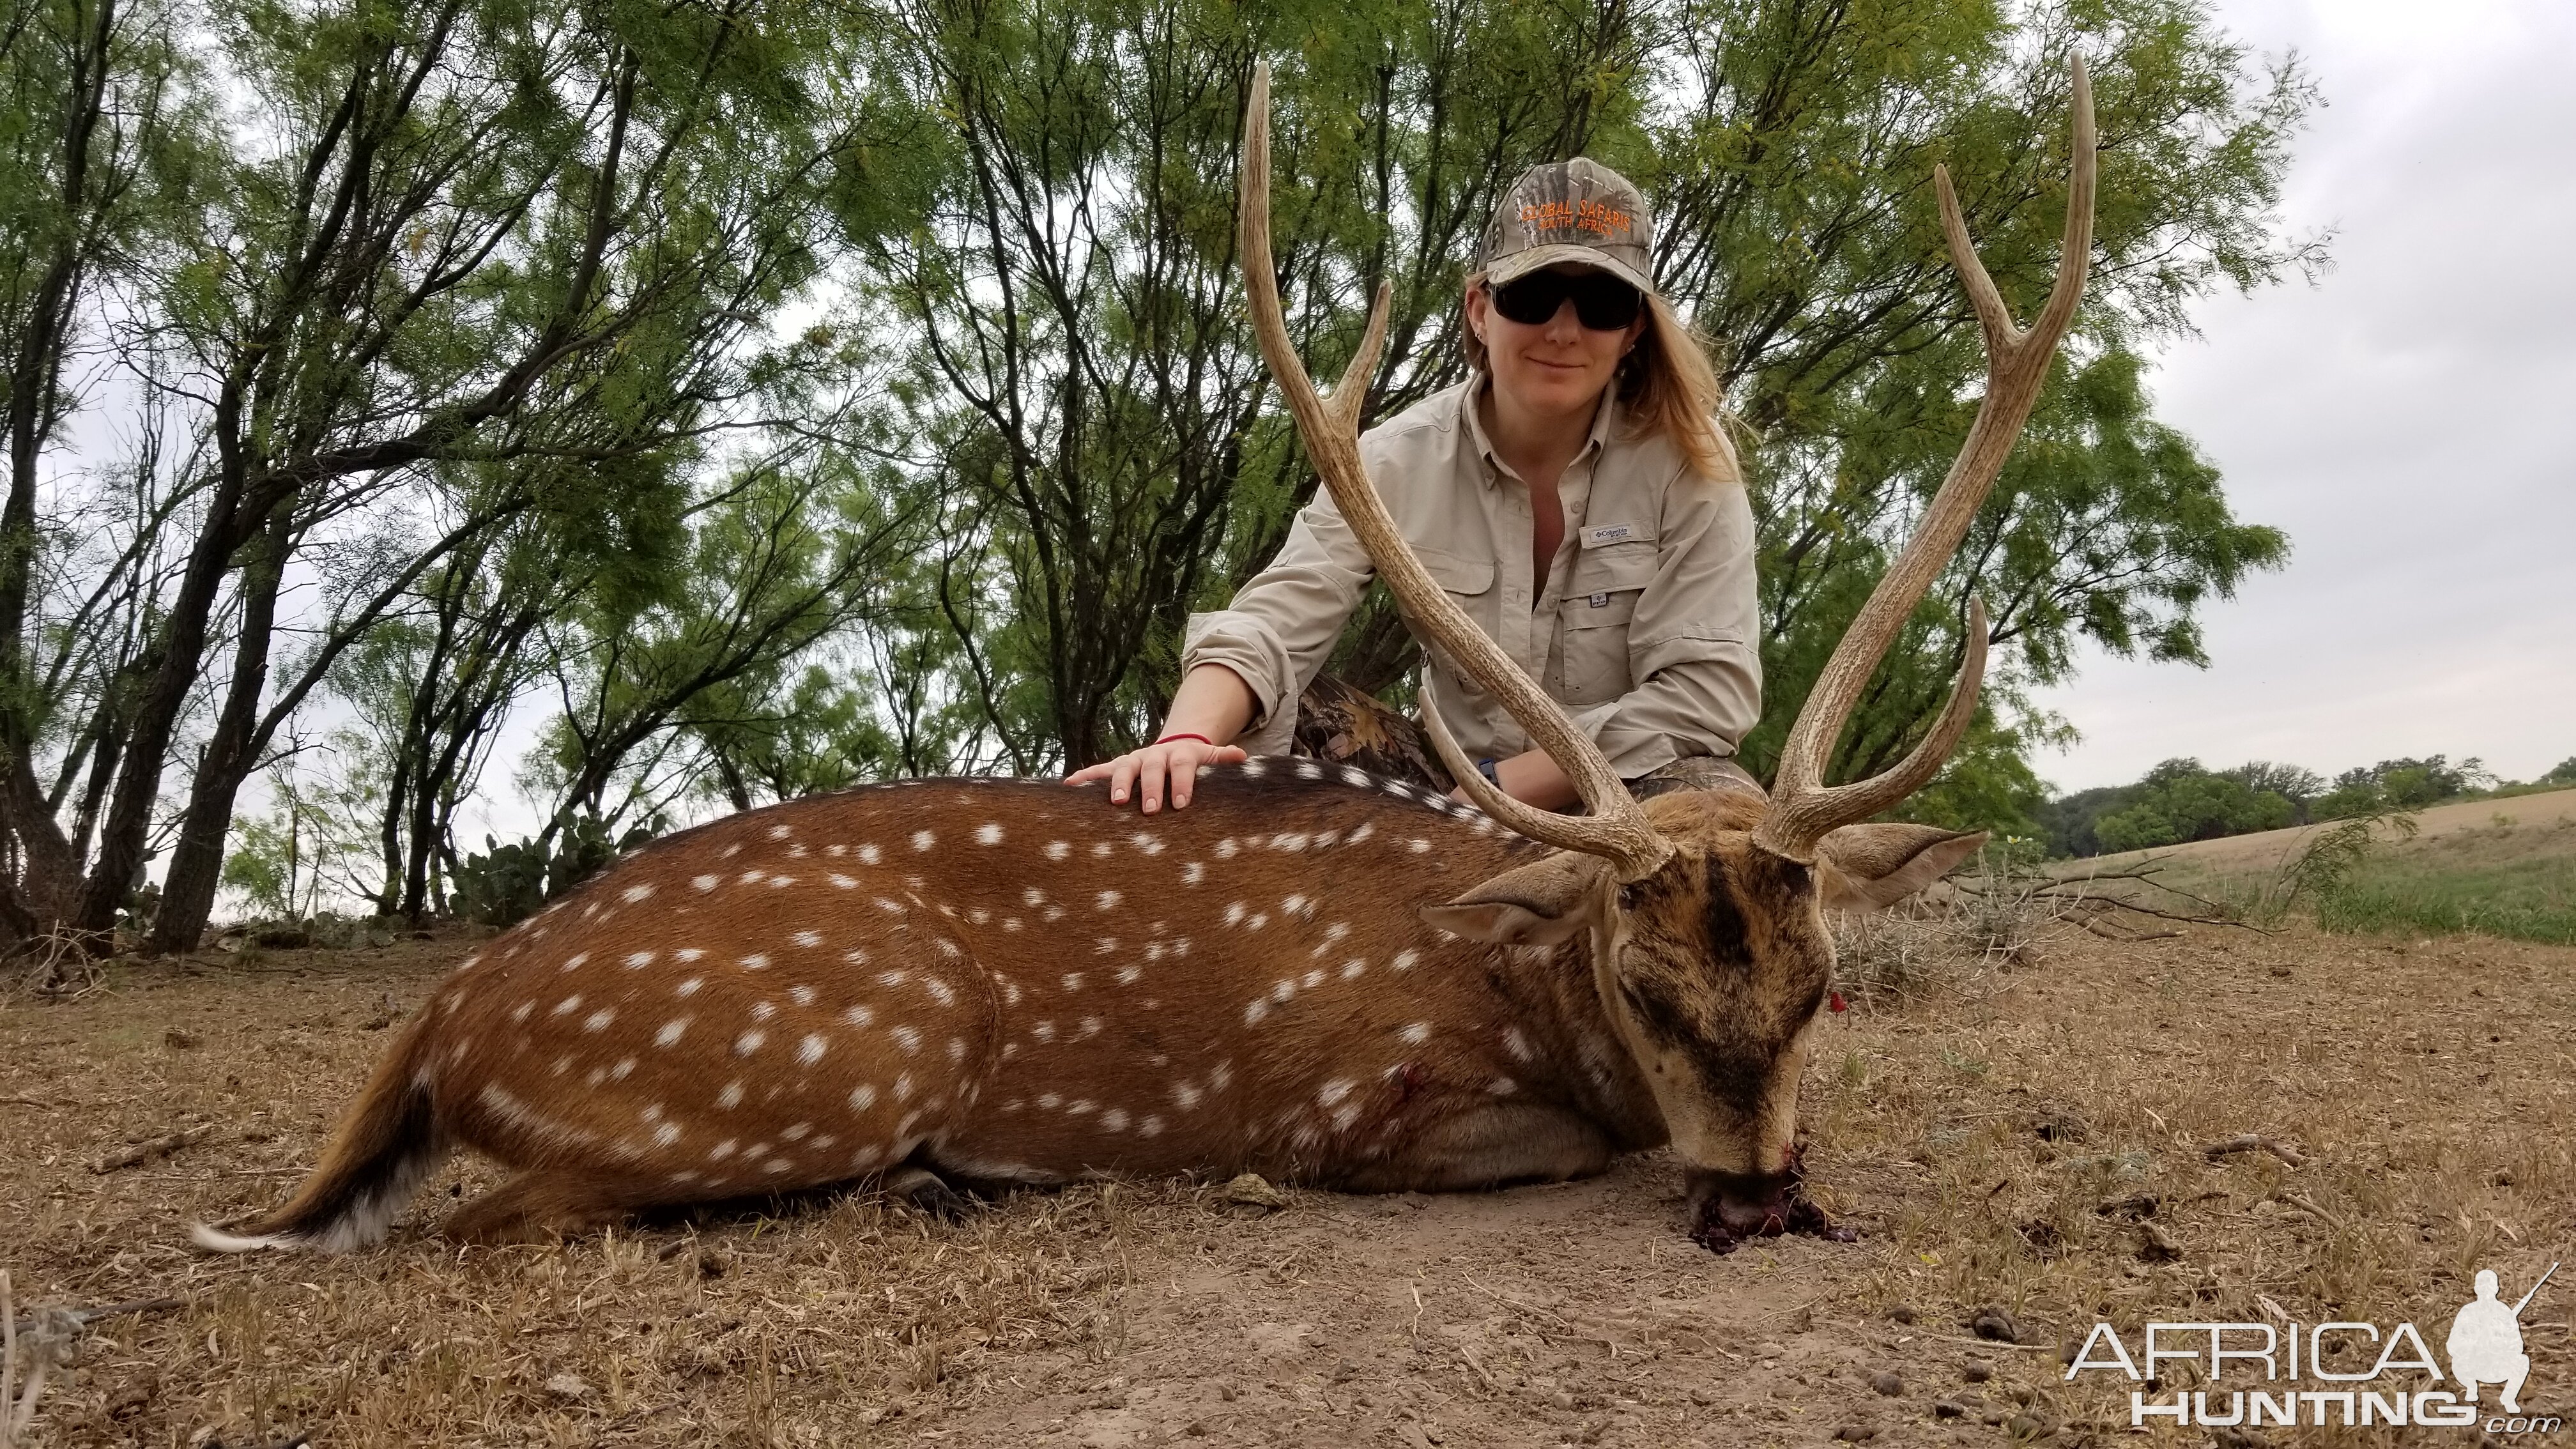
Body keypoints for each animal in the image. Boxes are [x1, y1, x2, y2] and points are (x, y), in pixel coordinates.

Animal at [193, 58, 2093, 1254]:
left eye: (1824, 979)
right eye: (1643, 984)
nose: (1763, 1190)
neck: (1512, 987)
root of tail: (434, 1023)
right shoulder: (1350, 1104)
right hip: (831, 1052)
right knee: (490, 1217)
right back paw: (932, 1184)